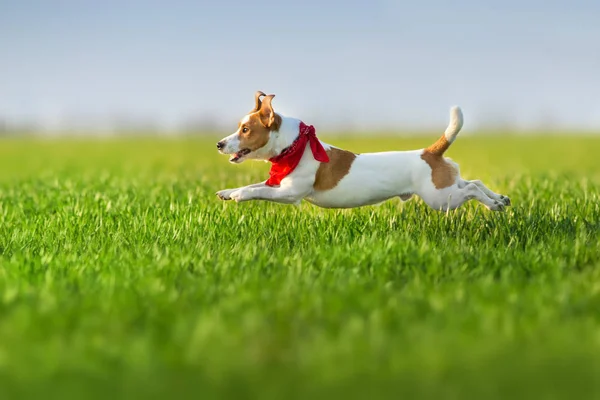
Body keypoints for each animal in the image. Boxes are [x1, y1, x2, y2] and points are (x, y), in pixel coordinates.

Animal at [216, 91, 510, 212]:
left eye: (245, 129)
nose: (219, 144)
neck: (295, 146)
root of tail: (429, 152)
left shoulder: (289, 193)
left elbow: (257, 190)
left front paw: (240, 195)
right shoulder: (278, 184)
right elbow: (256, 184)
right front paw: (229, 192)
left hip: (441, 198)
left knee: (470, 190)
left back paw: (493, 204)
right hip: (447, 185)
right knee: (475, 182)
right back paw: (500, 199)